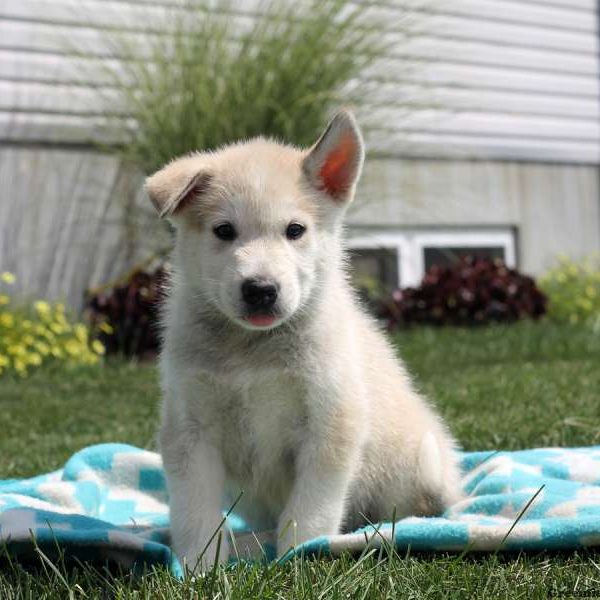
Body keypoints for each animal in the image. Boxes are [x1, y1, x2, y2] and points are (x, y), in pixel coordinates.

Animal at [146, 109, 464, 572]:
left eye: (295, 230)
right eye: (224, 230)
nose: (260, 289)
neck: (254, 351)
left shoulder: (331, 422)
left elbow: (309, 509)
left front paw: (300, 557)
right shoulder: (190, 428)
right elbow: (195, 511)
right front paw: (198, 567)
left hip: (418, 466)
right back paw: (250, 544)